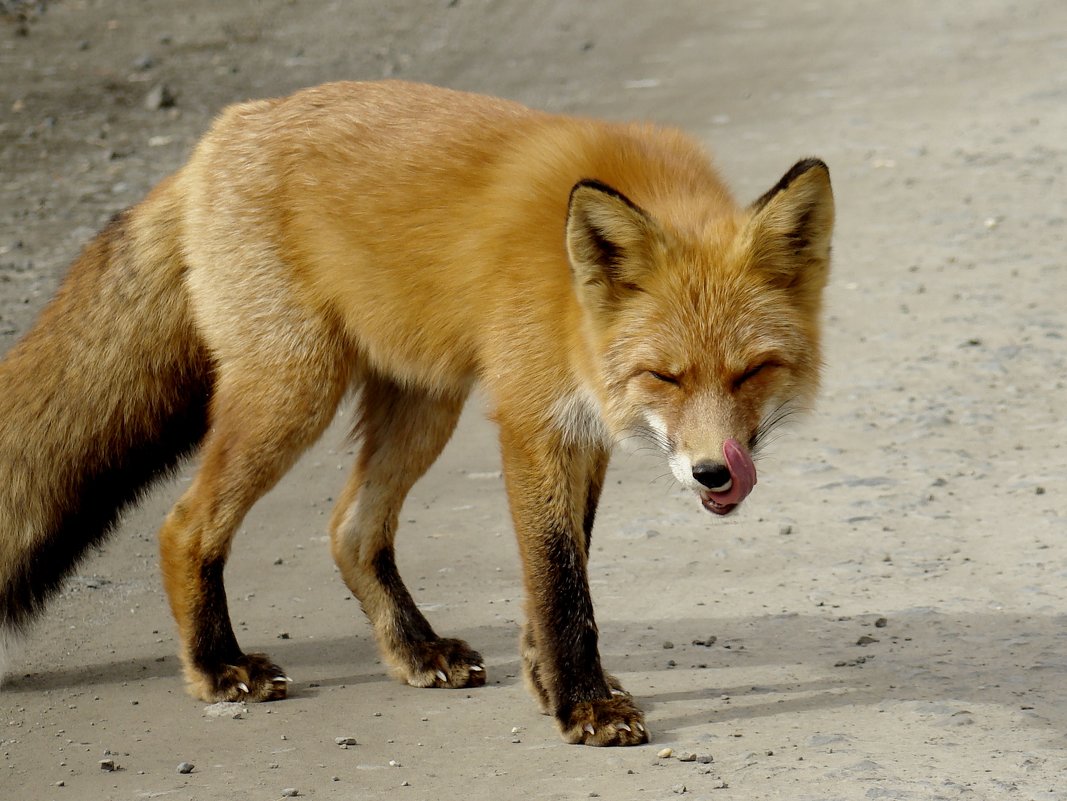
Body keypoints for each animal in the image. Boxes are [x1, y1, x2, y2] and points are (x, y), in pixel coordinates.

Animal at [0, 81, 832, 746]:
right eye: (664, 374)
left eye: (752, 370)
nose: (714, 472)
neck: (568, 295)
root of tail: (221, 135)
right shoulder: (531, 419)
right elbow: (560, 579)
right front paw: (583, 706)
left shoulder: (581, 427)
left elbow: (562, 572)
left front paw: (545, 681)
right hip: (295, 392)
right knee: (184, 525)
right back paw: (217, 664)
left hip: (423, 403)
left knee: (350, 530)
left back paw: (413, 650)